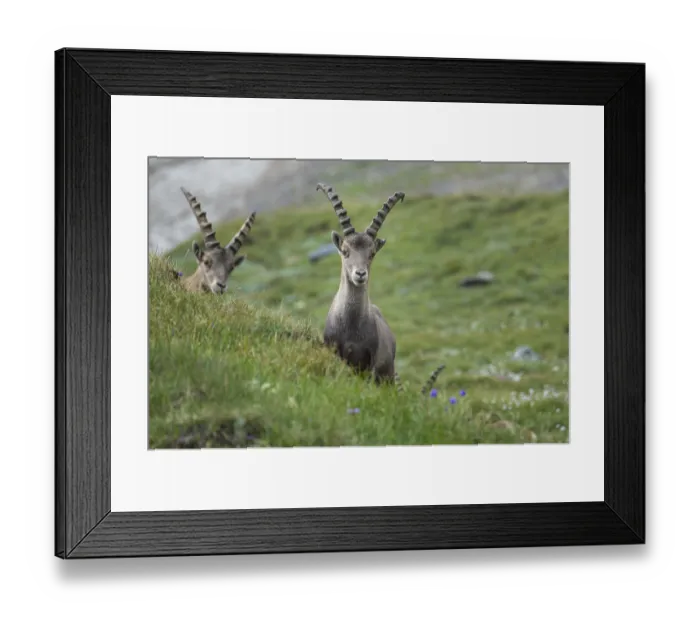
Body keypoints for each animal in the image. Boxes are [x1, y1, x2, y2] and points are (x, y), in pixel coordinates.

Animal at [317, 183, 446, 393]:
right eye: (345, 251)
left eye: (372, 253)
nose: (360, 274)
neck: (352, 324)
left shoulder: (371, 362)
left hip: (388, 375)